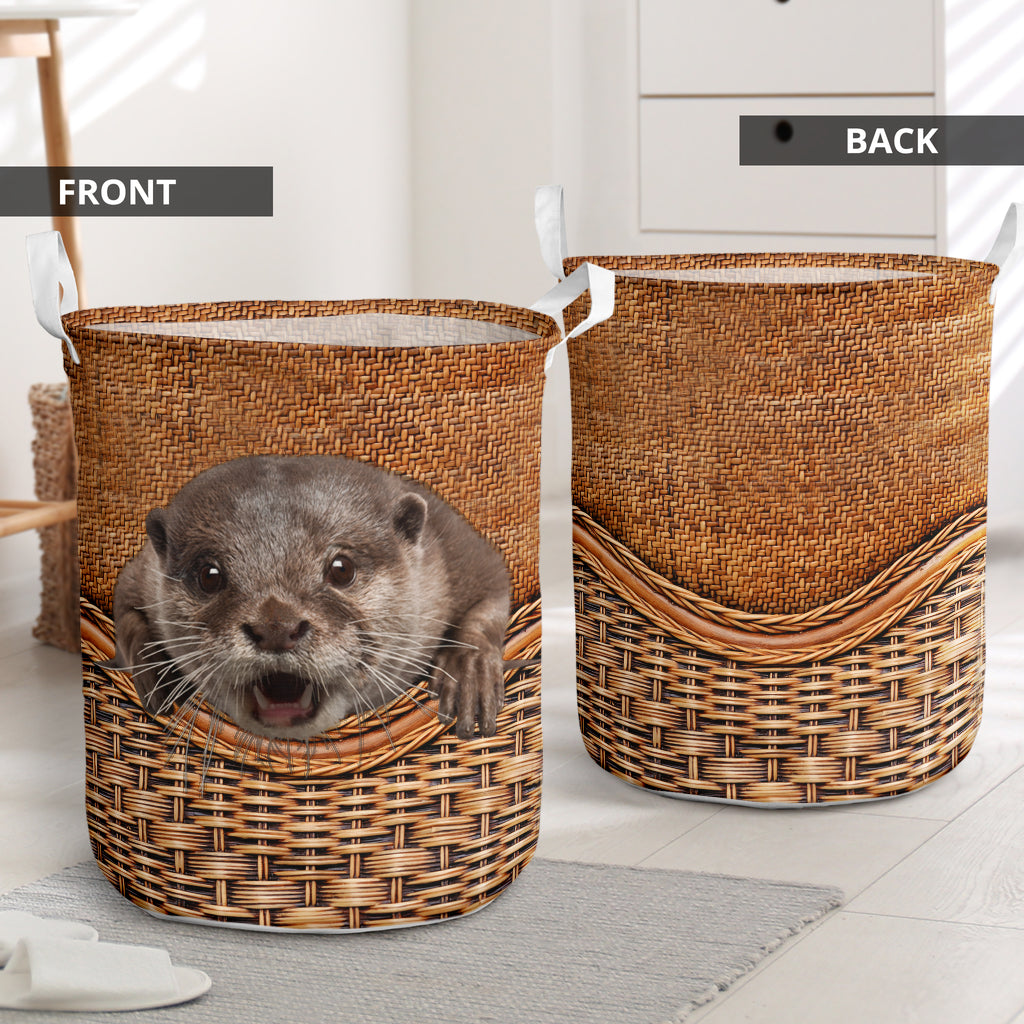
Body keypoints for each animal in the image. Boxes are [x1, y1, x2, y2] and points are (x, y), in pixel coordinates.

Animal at [111, 455, 510, 740]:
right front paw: (153, 667)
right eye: (209, 575)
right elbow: (123, 609)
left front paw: (469, 670)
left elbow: (492, 598)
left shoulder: (460, 552)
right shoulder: (140, 572)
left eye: (342, 569)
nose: (276, 627)